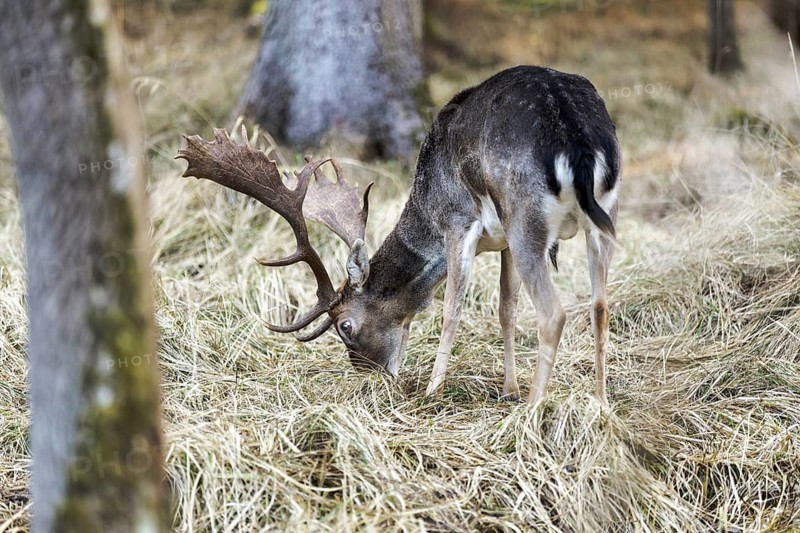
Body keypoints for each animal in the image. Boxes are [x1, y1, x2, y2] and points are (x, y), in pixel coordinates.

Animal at [177, 65, 620, 404]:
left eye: (345, 327)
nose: (369, 376)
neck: (425, 203)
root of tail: (576, 140)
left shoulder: (457, 221)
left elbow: (450, 310)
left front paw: (432, 391)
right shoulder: (502, 240)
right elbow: (505, 308)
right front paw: (509, 387)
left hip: (525, 214)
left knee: (554, 313)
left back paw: (531, 410)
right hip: (600, 213)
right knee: (600, 305)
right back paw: (599, 402)